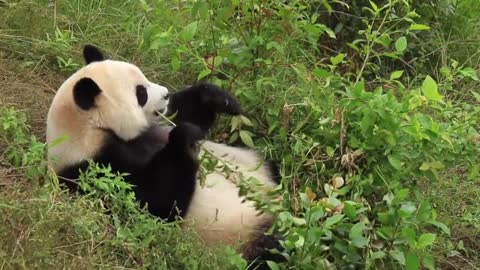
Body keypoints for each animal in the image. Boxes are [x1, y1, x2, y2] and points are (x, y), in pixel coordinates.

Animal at [46, 44, 282, 268]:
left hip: (260, 164)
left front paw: (218, 98)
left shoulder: (155, 128)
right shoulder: (96, 169)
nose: (166, 94)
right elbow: (153, 208)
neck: (90, 131)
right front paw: (186, 136)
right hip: (241, 236)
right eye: (141, 93)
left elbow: (182, 113)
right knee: (270, 249)